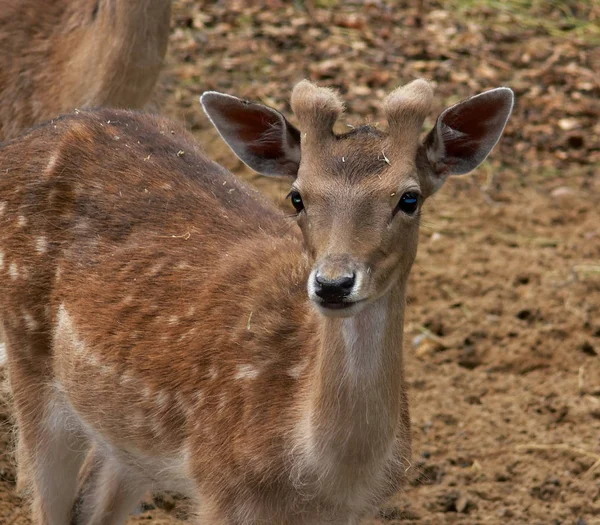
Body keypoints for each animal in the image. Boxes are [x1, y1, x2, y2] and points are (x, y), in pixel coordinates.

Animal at [1, 79, 510, 524]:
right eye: (297, 197)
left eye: (409, 198)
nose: (333, 284)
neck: (323, 475)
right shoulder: (220, 486)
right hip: (29, 360)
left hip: (124, 432)